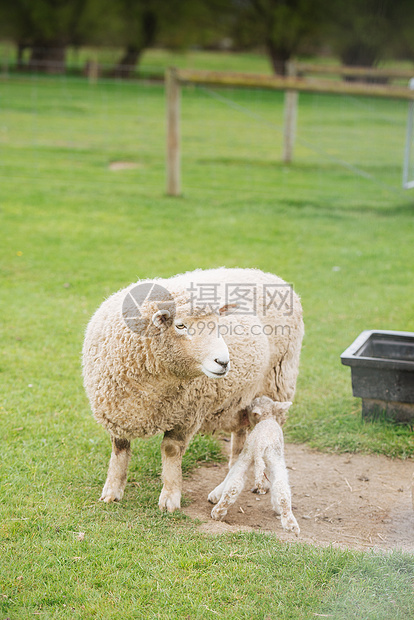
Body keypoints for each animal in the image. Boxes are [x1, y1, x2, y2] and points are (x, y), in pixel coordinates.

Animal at [81, 266, 304, 512]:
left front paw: (170, 498)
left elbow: (170, 450)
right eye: (180, 325)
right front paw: (112, 492)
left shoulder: (186, 413)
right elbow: (119, 449)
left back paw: (253, 484)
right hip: (242, 398)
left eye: (218, 324)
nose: (223, 362)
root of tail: (272, 277)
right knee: (241, 438)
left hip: (277, 384)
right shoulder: (116, 409)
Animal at [209, 400, 300, 536]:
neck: (267, 417)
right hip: (273, 458)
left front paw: (215, 495)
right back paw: (290, 524)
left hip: (249, 454)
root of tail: (261, 444)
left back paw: (218, 512)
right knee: (281, 488)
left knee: (234, 484)